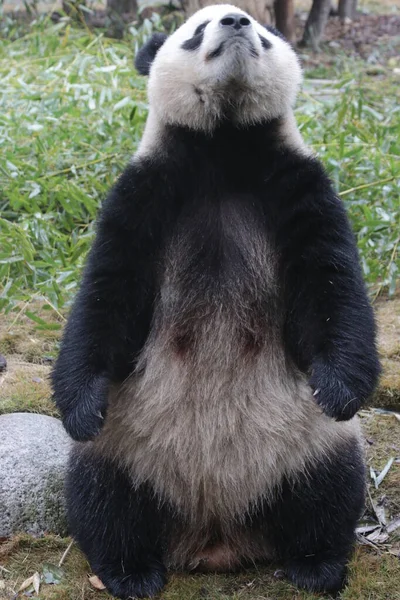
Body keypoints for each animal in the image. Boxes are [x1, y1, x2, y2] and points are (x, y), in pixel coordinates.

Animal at [51, 5, 380, 600]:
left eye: (265, 32)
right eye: (195, 31)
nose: (236, 21)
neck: (224, 148)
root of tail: (216, 536)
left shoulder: (297, 183)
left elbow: (331, 284)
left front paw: (340, 386)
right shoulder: (147, 190)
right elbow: (107, 294)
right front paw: (81, 406)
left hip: (307, 441)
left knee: (329, 488)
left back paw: (315, 564)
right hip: (130, 441)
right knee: (103, 496)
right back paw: (130, 571)